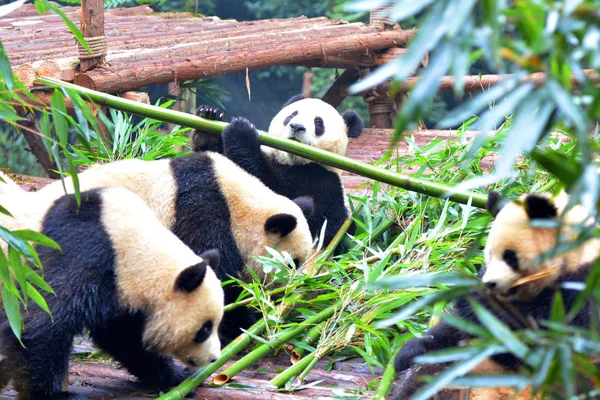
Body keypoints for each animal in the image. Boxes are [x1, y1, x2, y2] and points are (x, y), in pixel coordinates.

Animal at [0, 187, 224, 400]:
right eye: (204, 329)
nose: (214, 358)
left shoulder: (120, 294)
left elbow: (123, 338)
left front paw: (177, 377)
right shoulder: (83, 251)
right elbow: (41, 321)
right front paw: (53, 395)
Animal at [190, 94, 364, 250]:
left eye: (318, 122)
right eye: (292, 114)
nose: (296, 126)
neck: (292, 161)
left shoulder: (324, 183)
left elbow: (316, 221)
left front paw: (241, 132)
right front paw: (209, 118)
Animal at [394, 192, 600, 396]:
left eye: (510, 257)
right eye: (490, 255)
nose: (489, 284)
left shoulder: (580, 293)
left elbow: (530, 343)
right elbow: (456, 331)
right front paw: (408, 354)